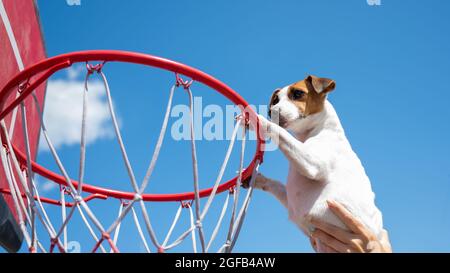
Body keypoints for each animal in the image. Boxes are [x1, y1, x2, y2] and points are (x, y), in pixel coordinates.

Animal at [243, 74, 384, 251]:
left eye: (298, 93)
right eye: (275, 100)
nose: (270, 111)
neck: (314, 131)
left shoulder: (312, 163)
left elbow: (281, 133)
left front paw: (257, 118)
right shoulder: (291, 199)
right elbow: (276, 184)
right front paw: (258, 179)